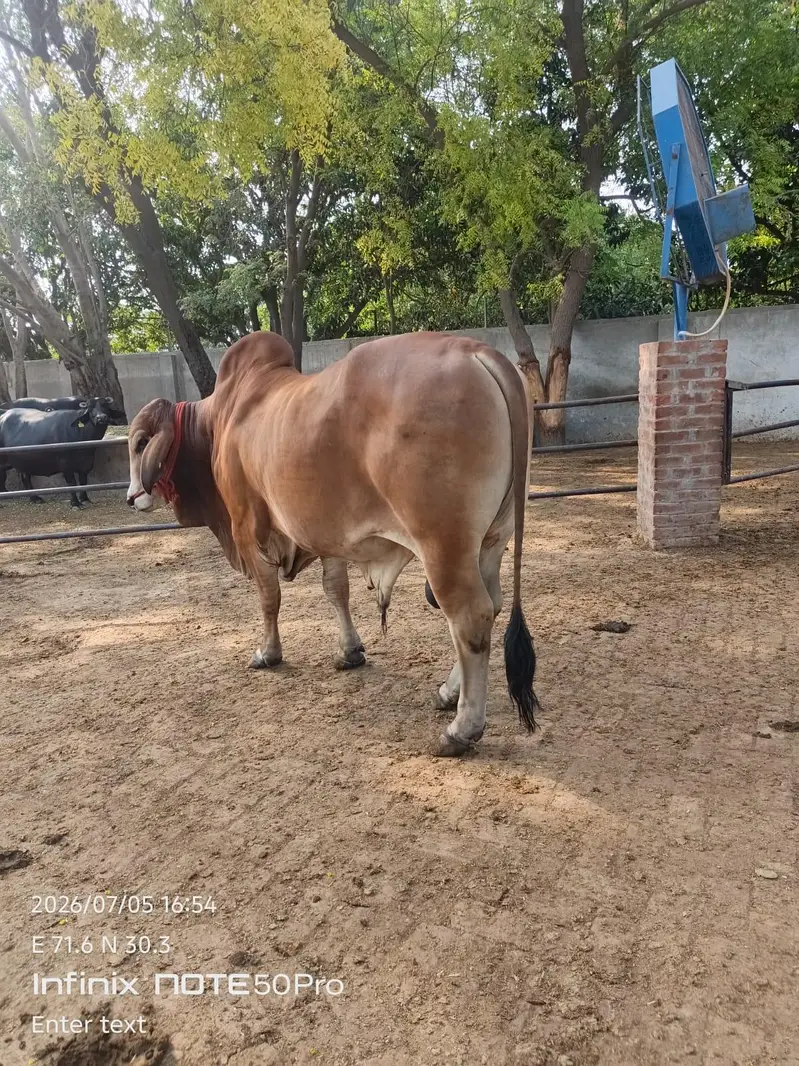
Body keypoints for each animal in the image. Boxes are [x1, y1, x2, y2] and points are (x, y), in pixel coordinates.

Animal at [127, 331, 538, 757]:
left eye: (140, 443)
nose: (131, 497)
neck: (217, 425)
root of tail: (478, 350)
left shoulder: (248, 528)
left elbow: (269, 598)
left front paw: (268, 654)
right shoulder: (328, 535)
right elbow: (336, 590)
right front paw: (350, 651)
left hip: (444, 545)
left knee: (469, 616)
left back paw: (461, 728)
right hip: (491, 540)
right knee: (493, 605)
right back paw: (447, 692)